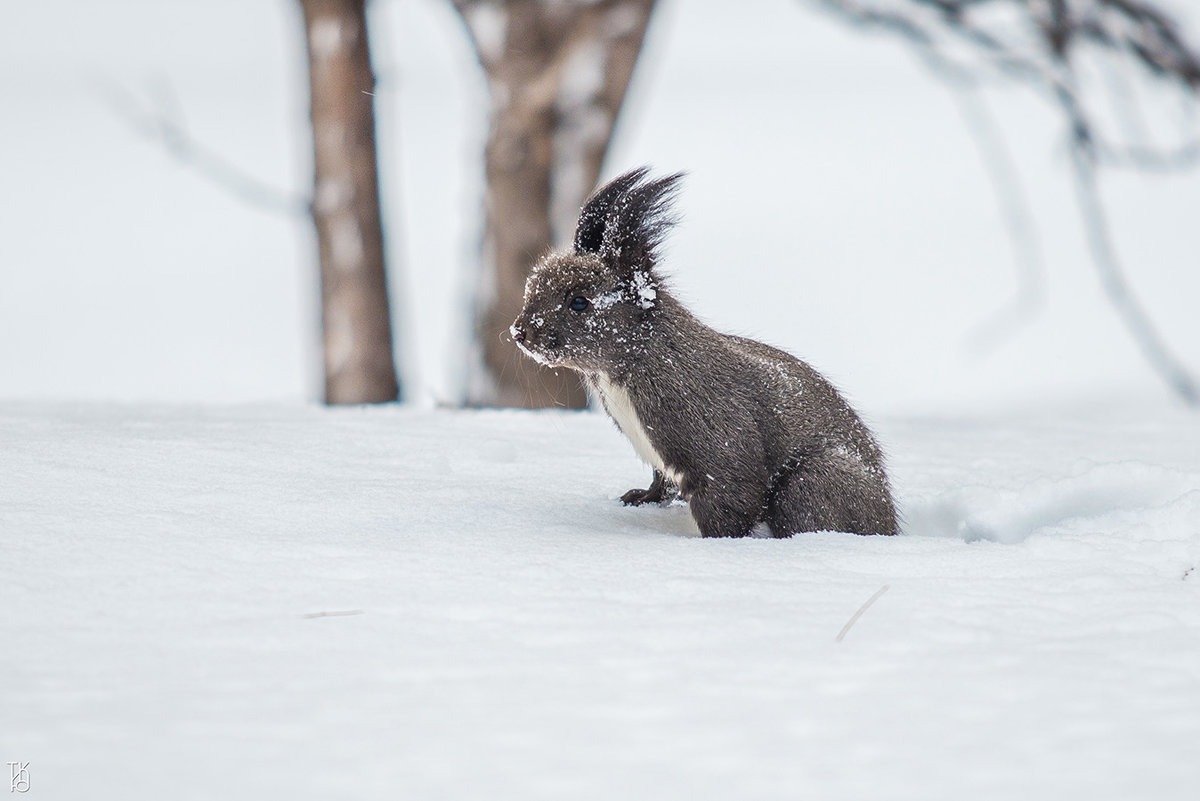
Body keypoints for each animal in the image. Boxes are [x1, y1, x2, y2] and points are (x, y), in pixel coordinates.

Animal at [511, 169, 897, 537]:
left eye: (579, 302)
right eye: (533, 286)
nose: (519, 332)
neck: (627, 368)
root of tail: (888, 521)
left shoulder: (708, 424)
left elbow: (731, 492)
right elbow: (661, 481)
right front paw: (642, 499)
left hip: (812, 484)